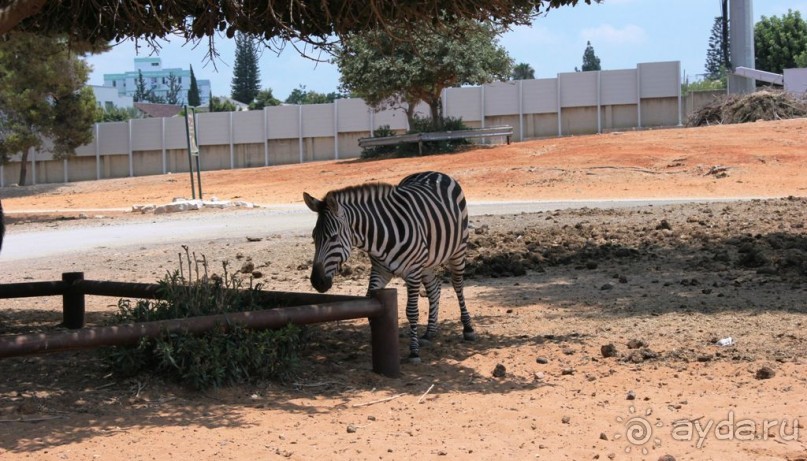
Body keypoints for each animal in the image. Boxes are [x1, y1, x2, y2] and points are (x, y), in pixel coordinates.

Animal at [306, 171, 476, 362]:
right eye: (314, 236)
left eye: (333, 237)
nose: (317, 282)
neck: (379, 238)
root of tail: (435, 173)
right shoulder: (380, 271)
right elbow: (371, 306)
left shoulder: (413, 272)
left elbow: (412, 311)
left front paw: (414, 352)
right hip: (427, 262)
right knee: (434, 289)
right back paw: (429, 332)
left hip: (458, 249)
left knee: (458, 286)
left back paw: (468, 328)